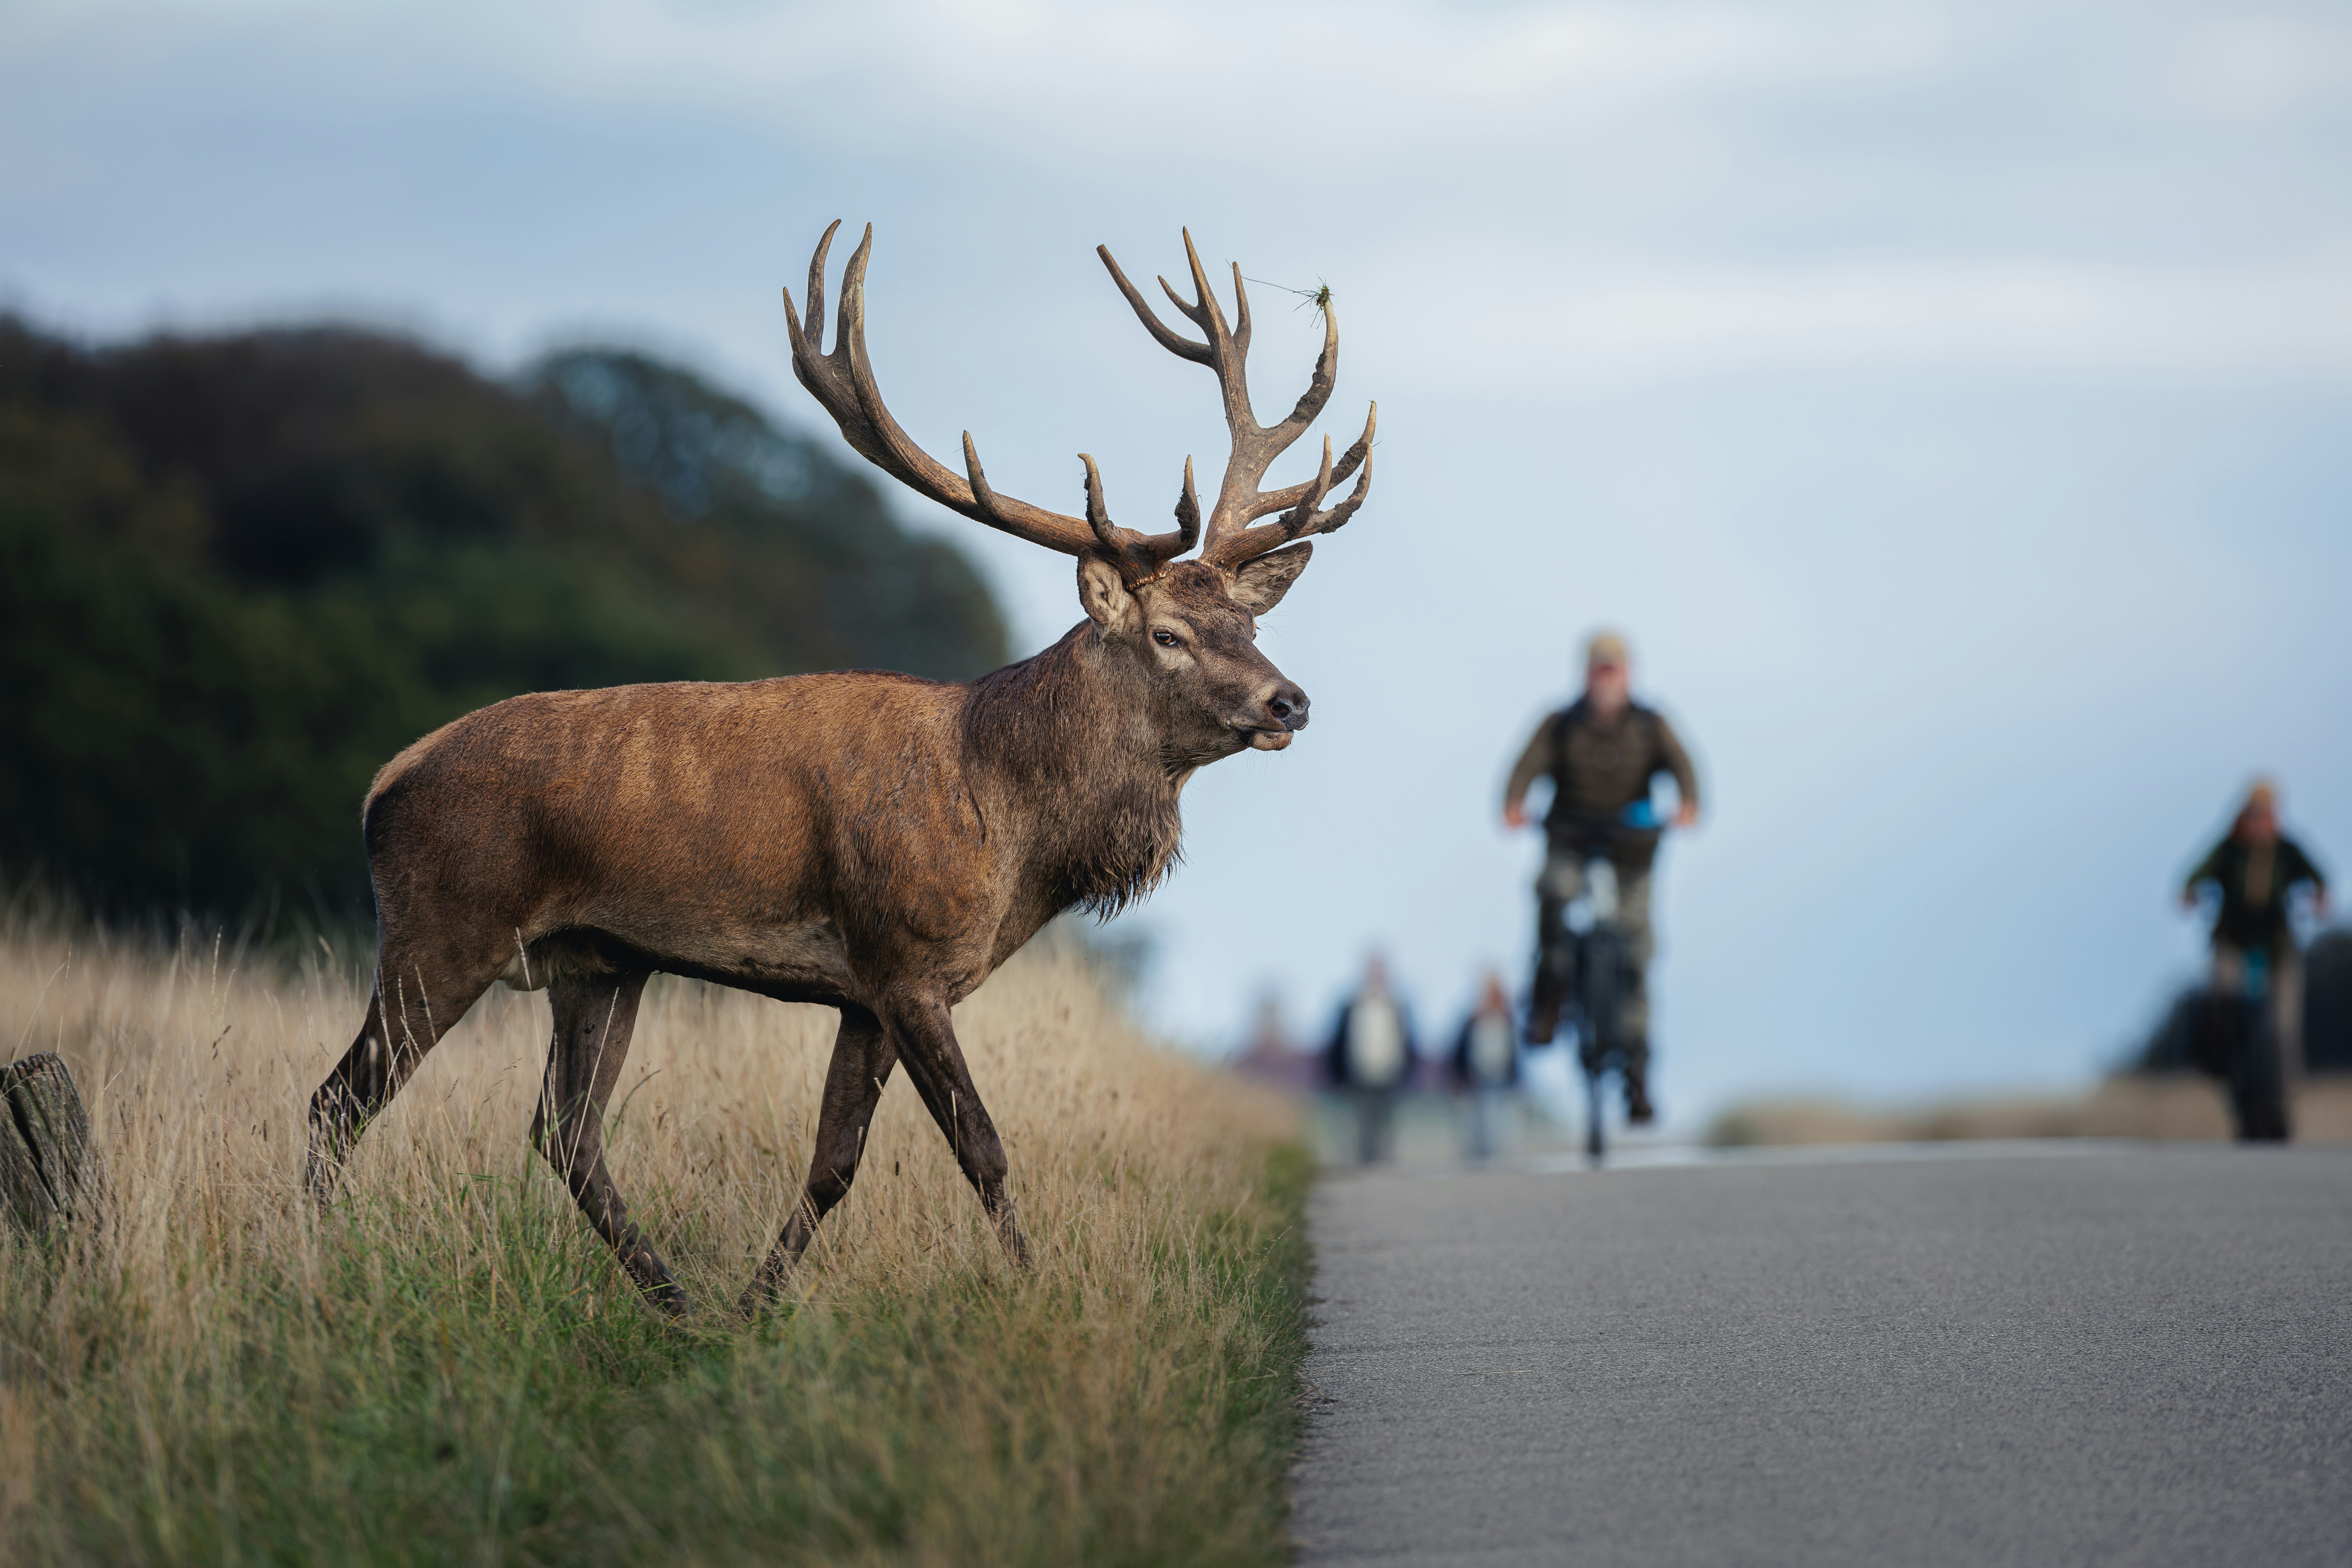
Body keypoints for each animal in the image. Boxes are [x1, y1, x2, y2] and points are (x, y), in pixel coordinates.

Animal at [303, 222, 1375, 1319]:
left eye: (1249, 625)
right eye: (1167, 634)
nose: (1289, 701)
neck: (1012, 832)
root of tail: (381, 787)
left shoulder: (862, 992)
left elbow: (833, 1162)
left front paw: (754, 1311)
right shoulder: (903, 959)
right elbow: (982, 1147)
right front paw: (1037, 1293)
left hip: (596, 960)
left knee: (565, 1133)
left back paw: (677, 1305)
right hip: (443, 924)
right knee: (339, 1099)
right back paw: (310, 1265)